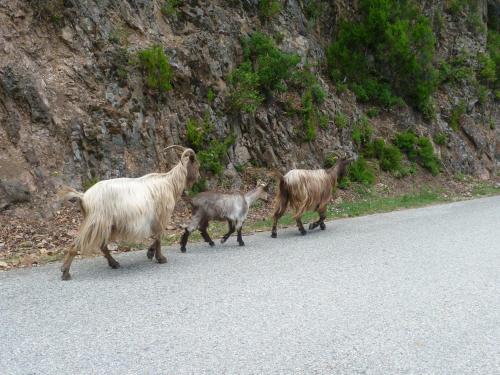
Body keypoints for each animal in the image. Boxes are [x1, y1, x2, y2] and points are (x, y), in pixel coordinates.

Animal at [58, 145, 199, 280]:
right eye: (196, 164)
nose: (199, 177)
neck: (170, 183)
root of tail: (83, 197)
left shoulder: (155, 220)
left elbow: (156, 238)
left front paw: (150, 253)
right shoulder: (161, 217)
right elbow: (159, 238)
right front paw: (160, 258)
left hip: (106, 225)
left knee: (102, 246)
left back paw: (113, 263)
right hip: (96, 222)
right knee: (76, 245)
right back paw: (65, 272)